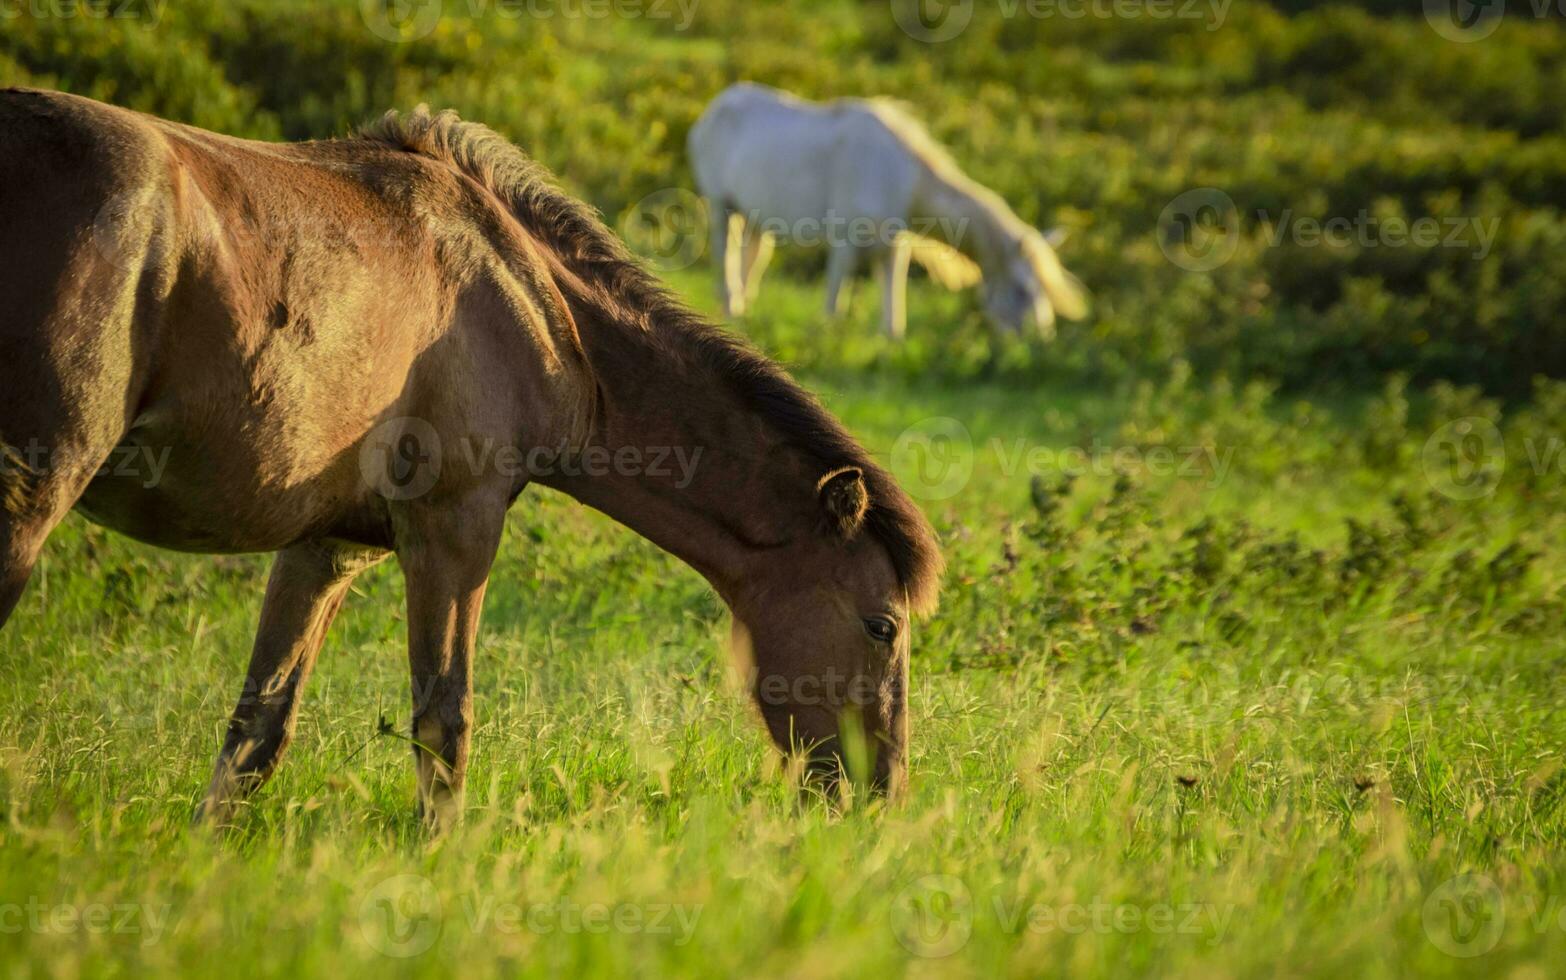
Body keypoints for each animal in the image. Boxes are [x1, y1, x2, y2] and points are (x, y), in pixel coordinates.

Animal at [0, 89, 939, 826]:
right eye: (882, 626)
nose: (881, 795)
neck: (530, 301)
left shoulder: (325, 549)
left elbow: (257, 732)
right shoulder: (456, 531)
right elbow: (444, 724)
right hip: (30, 504)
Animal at [692, 84, 1083, 342]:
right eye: (1022, 289)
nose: (1041, 339)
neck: (901, 178)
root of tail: (712, 108)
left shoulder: (894, 245)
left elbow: (893, 303)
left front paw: (890, 343)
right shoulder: (845, 241)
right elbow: (835, 299)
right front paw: (828, 338)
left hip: (754, 217)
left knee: (752, 258)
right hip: (720, 205)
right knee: (724, 256)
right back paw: (730, 306)